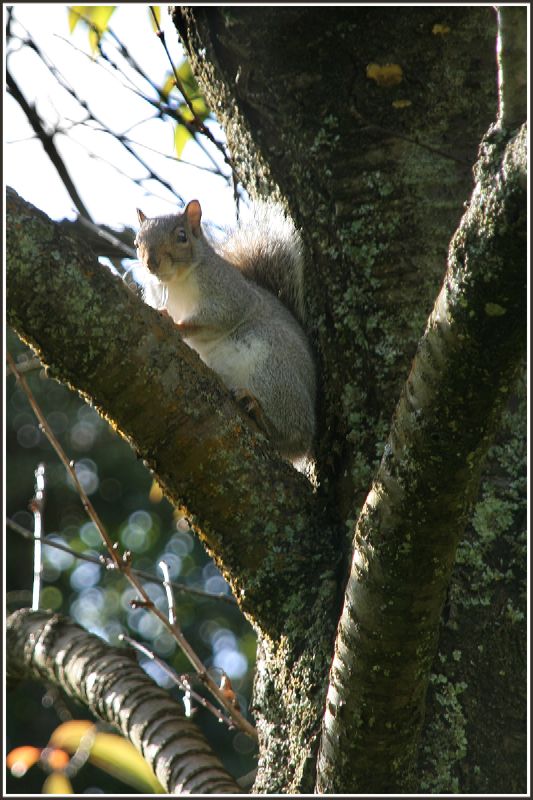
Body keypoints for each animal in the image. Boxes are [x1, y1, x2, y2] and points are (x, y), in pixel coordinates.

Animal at [134, 200, 316, 460]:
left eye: (182, 236)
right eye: (136, 242)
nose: (151, 262)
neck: (175, 283)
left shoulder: (230, 294)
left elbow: (219, 317)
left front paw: (177, 324)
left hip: (270, 371)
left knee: (293, 434)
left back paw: (257, 410)